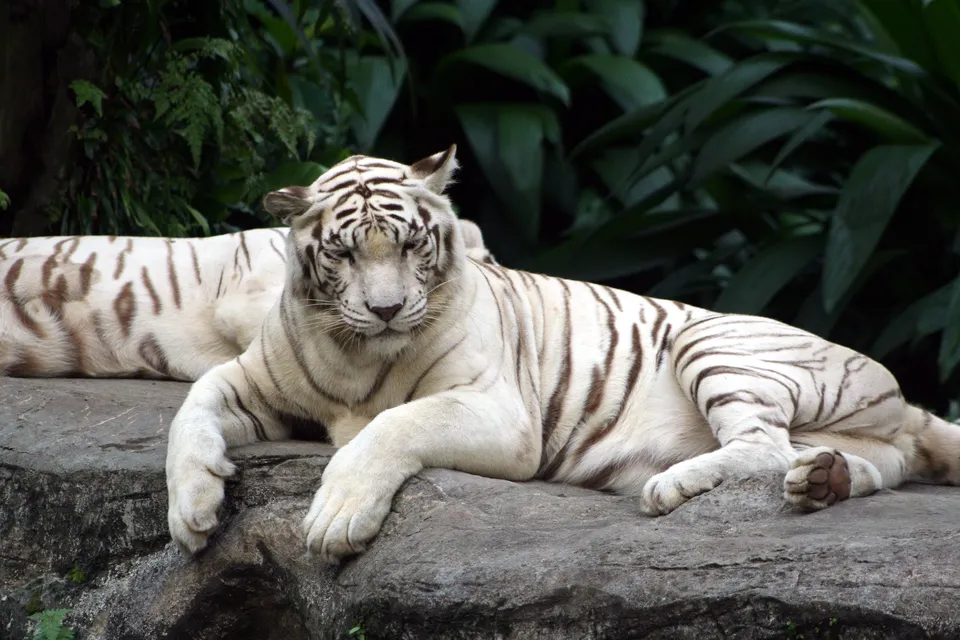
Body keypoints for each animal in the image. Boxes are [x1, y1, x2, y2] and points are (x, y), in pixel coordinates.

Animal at [165, 145, 960, 565]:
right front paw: (193, 512)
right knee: (846, 464)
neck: (358, 352)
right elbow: (188, 412)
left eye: (413, 245)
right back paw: (822, 481)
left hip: (711, 341)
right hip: (855, 442)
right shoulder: (249, 378)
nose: (387, 309)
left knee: (762, 445)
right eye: (344, 253)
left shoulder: (501, 413)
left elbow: (395, 424)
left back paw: (671, 486)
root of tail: (903, 397)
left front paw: (335, 517)